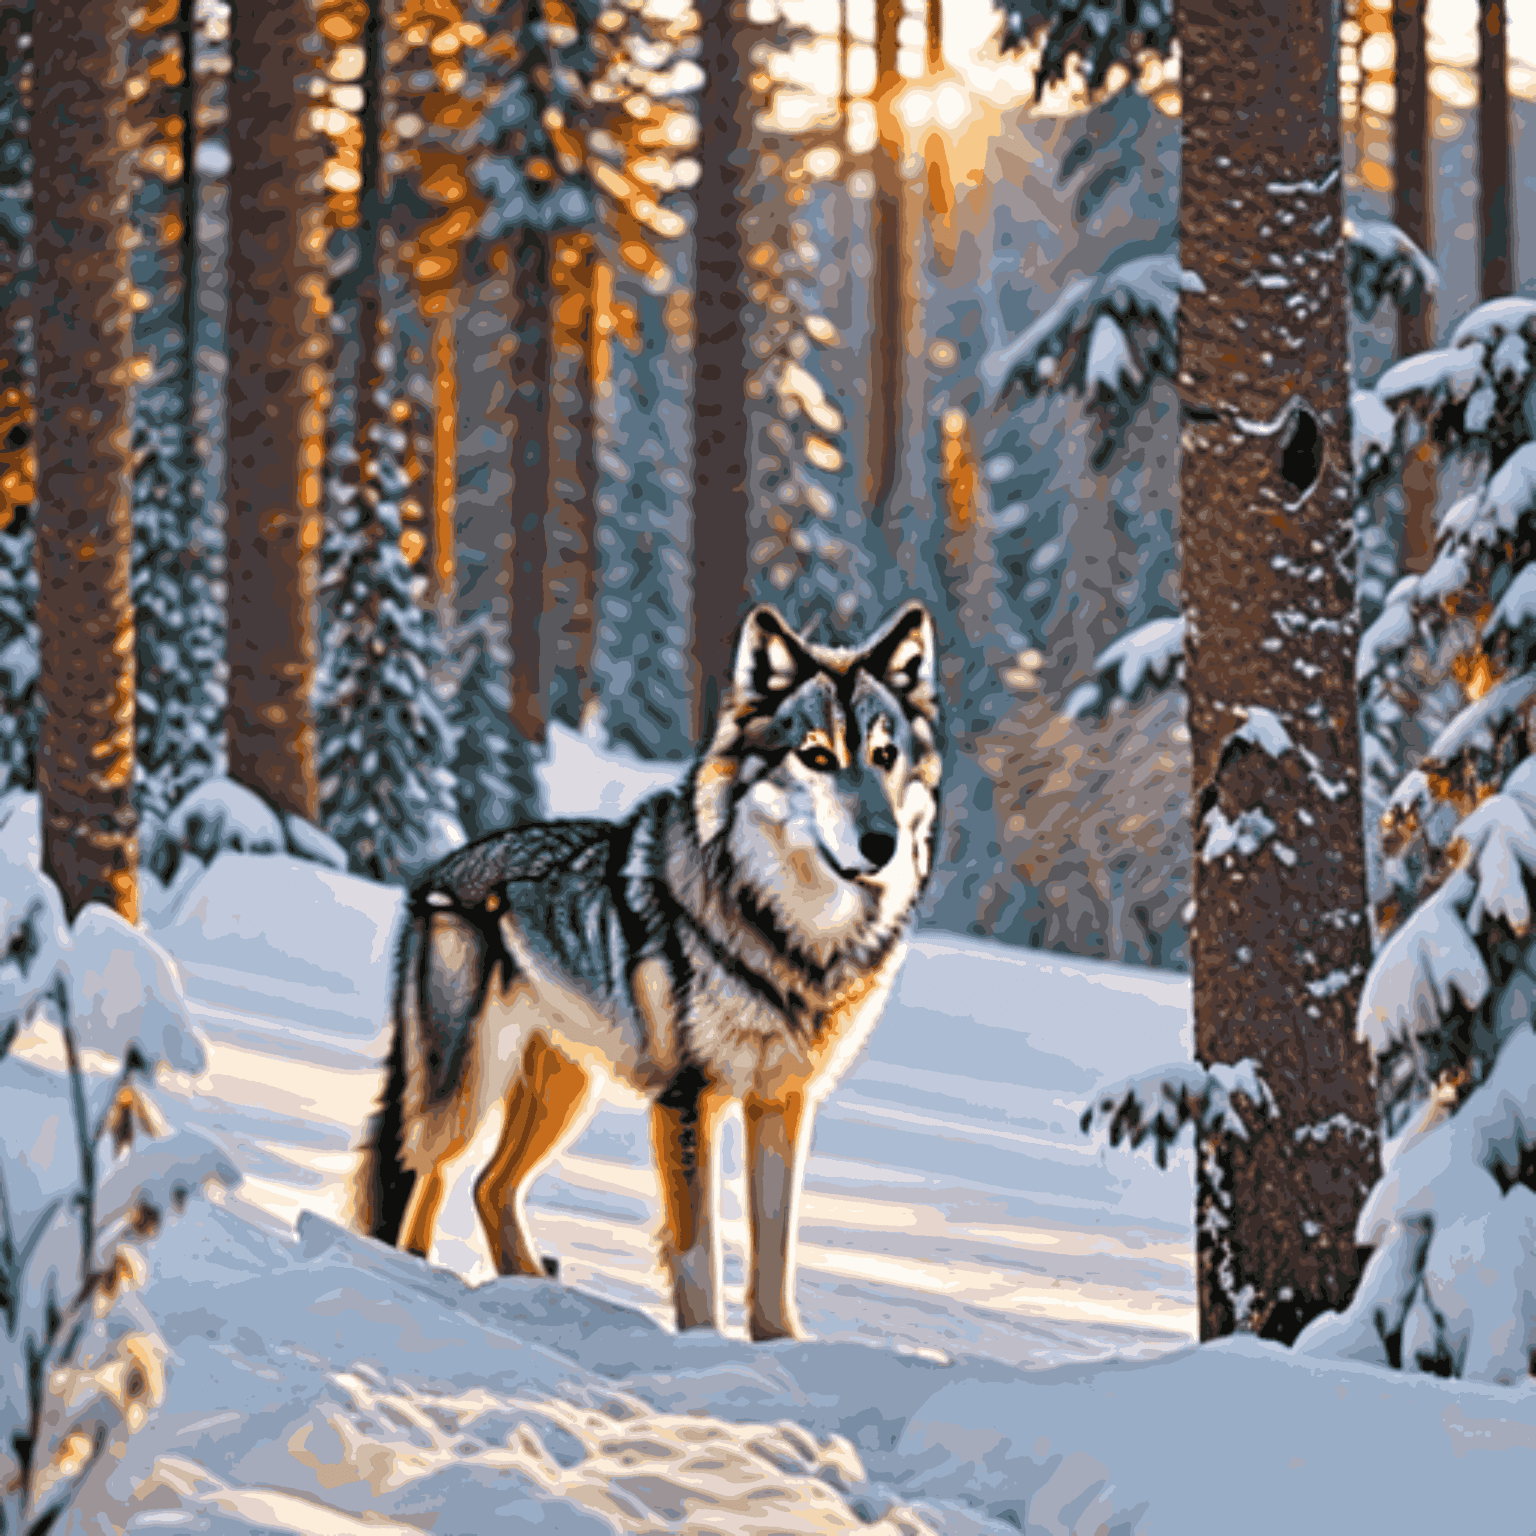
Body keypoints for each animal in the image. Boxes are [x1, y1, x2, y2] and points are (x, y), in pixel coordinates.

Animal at [349, 600, 944, 1341]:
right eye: (817, 756)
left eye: (885, 756)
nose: (881, 844)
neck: (787, 935)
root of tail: (436, 871)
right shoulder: (688, 1097)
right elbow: (699, 1251)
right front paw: (706, 1350)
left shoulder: (783, 1100)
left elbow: (774, 1250)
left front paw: (779, 1347)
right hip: (462, 1092)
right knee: (417, 1179)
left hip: (562, 1092)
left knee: (488, 1187)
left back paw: (532, 1292)